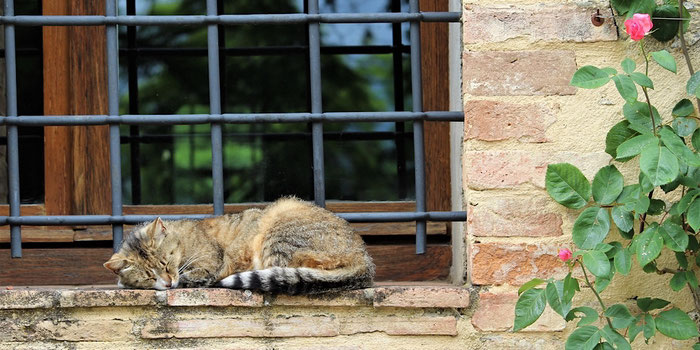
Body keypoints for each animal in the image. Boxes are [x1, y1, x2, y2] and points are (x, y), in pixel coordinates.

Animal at [102, 197, 374, 296]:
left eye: (166, 263)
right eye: (148, 276)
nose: (168, 282)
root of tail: (364, 259)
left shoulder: (210, 263)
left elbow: (199, 275)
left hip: (279, 225)